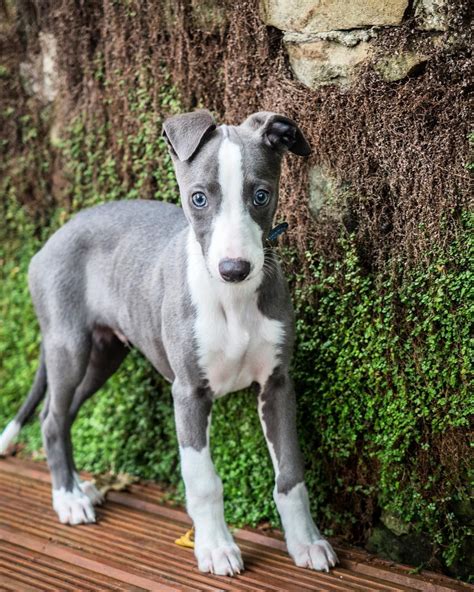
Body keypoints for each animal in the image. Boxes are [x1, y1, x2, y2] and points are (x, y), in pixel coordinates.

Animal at [1, 110, 338, 572]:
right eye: (198, 198)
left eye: (261, 195)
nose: (234, 269)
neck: (232, 301)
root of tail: (55, 236)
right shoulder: (189, 392)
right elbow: (203, 480)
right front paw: (215, 548)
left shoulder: (277, 383)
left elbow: (290, 472)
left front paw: (306, 541)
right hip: (68, 344)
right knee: (52, 417)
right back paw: (67, 498)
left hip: (104, 353)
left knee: (62, 413)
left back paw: (78, 486)